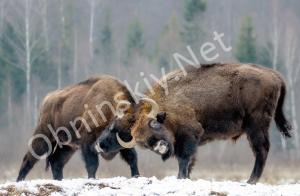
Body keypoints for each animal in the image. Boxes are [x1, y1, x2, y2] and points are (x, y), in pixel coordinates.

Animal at [99, 62, 292, 184]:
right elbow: (188, 161)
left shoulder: (189, 136)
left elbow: (184, 159)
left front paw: (181, 177)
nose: (101, 144)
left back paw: (251, 180)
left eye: (153, 124)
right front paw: (184, 177)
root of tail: (275, 75)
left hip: (256, 126)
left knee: (261, 150)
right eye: (143, 143)